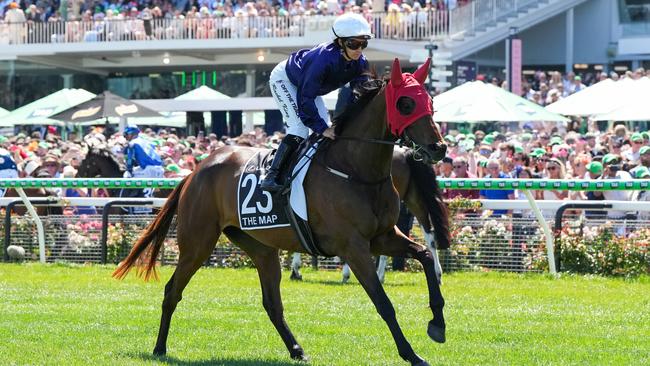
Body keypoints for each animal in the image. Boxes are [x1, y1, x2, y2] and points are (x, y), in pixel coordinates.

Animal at [111, 58, 446, 364]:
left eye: (430, 102)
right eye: (405, 103)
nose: (438, 148)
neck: (355, 169)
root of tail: (197, 170)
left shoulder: (382, 236)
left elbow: (424, 256)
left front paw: (437, 324)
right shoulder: (353, 246)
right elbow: (383, 302)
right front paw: (412, 354)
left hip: (260, 247)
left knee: (272, 303)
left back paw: (297, 349)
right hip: (198, 243)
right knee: (172, 290)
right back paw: (159, 348)